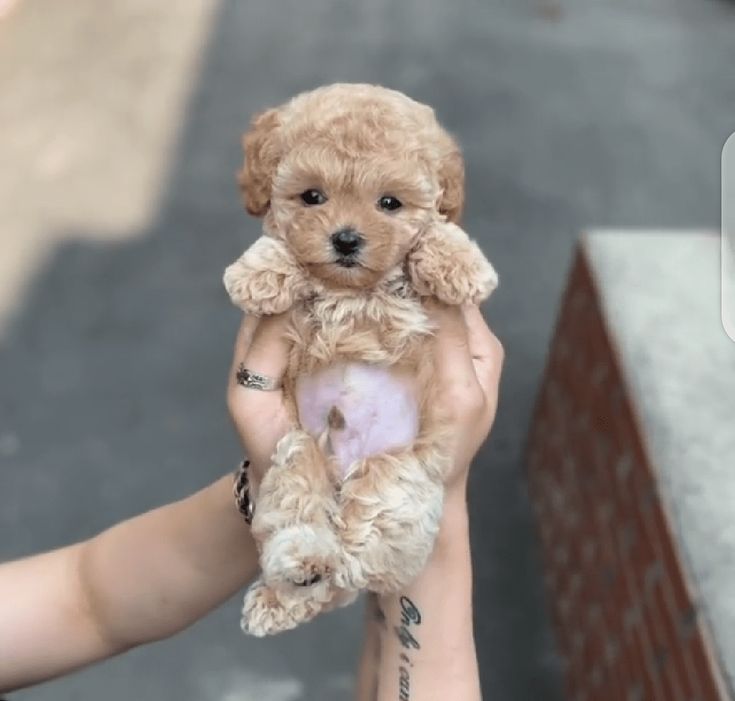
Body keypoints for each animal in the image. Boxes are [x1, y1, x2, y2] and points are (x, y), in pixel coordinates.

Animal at [226, 82, 500, 636]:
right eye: (312, 196)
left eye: (390, 203)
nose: (347, 239)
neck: (352, 291)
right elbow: (282, 246)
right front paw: (256, 273)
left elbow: (435, 233)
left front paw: (461, 265)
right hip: (296, 449)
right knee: (302, 516)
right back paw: (297, 572)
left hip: (398, 480)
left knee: (355, 563)